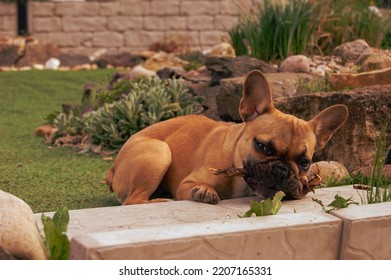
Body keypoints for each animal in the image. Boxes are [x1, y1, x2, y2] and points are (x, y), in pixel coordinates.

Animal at [105, 71, 350, 205]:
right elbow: (198, 187)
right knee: (132, 201)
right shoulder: (186, 184)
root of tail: (113, 168)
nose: (281, 171)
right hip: (160, 152)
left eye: (305, 162)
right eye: (262, 146)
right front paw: (204, 191)